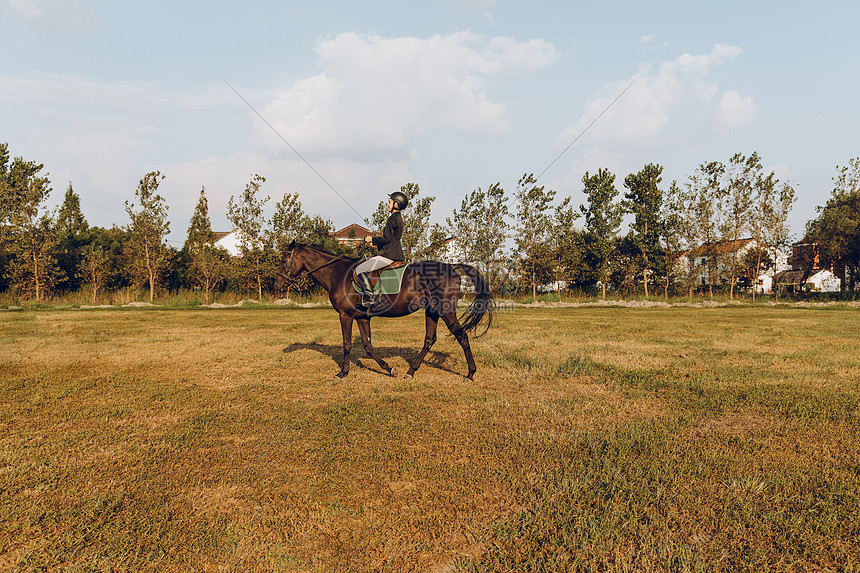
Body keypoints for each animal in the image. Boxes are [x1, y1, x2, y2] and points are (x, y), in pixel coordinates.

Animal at [272, 241, 494, 380]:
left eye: (283, 261)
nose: (276, 285)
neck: (338, 274)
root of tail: (452, 267)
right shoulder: (362, 317)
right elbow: (368, 346)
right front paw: (389, 369)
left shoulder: (345, 315)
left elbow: (347, 345)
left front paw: (343, 373)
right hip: (432, 311)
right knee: (429, 340)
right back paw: (410, 371)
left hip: (446, 312)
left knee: (462, 336)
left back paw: (470, 374)